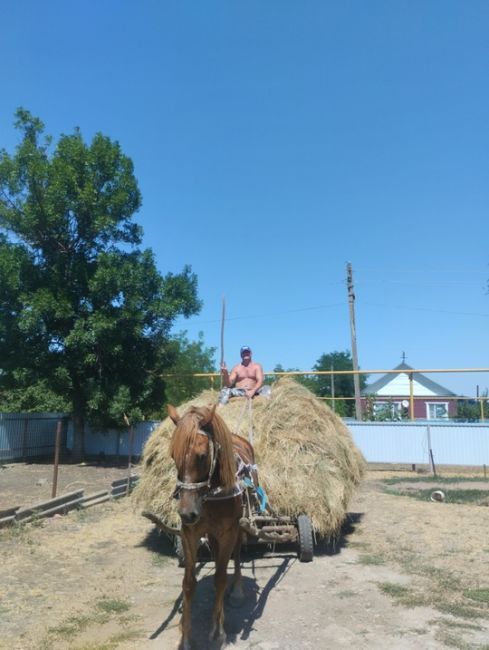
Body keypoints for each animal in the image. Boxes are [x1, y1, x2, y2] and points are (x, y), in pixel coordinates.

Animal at [168, 402, 255, 644]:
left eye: (202, 455)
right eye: (173, 456)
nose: (187, 513)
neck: (210, 494)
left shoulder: (228, 532)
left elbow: (220, 578)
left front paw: (218, 630)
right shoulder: (190, 533)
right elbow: (189, 583)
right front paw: (185, 637)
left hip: (235, 529)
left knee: (235, 557)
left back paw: (237, 590)